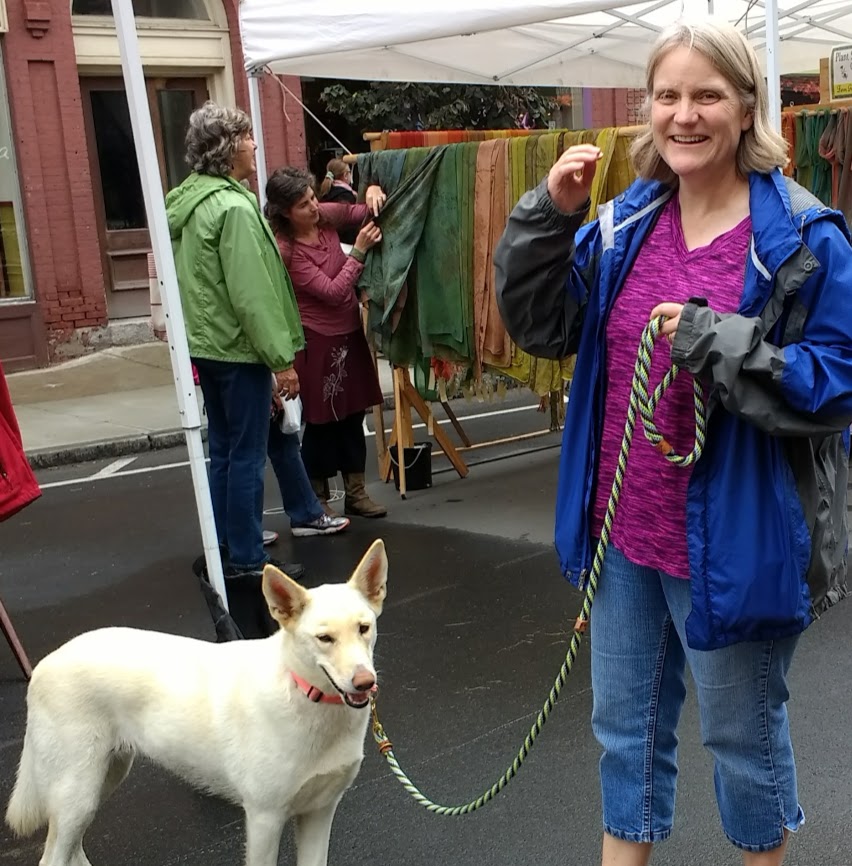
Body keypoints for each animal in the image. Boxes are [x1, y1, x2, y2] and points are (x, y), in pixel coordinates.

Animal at [3, 536, 388, 860]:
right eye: (324, 638)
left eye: (363, 628)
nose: (365, 683)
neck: (304, 695)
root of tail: (44, 665)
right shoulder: (264, 818)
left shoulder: (320, 812)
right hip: (77, 794)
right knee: (53, 857)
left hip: (101, 782)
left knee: (73, 850)